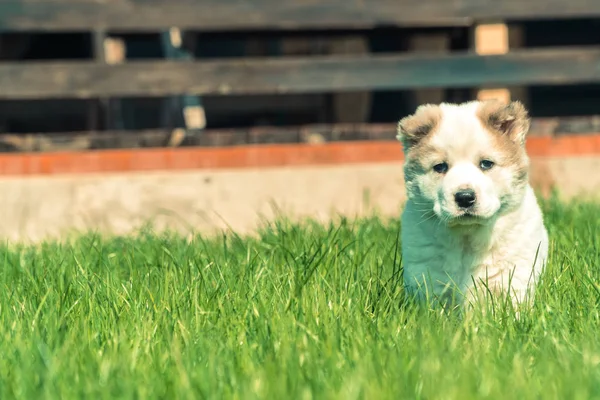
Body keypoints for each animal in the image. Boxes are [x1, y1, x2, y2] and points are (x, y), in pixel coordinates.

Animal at [398, 100, 548, 310]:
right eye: (440, 167)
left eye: (486, 164)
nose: (465, 197)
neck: (467, 238)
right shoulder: (428, 277)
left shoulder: (514, 275)